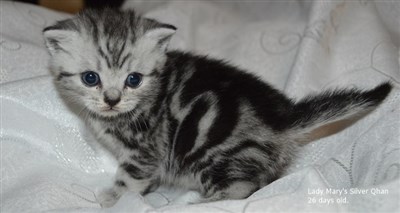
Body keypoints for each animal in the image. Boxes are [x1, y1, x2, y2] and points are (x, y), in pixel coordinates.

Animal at [42, 9, 392, 207]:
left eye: (133, 79)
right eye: (90, 78)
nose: (112, 99)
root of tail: (283, 117)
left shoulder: (144, 151)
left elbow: (130, 178)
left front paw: (115, 197)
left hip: (214, 155)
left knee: (242, 187)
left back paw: (194, 201)